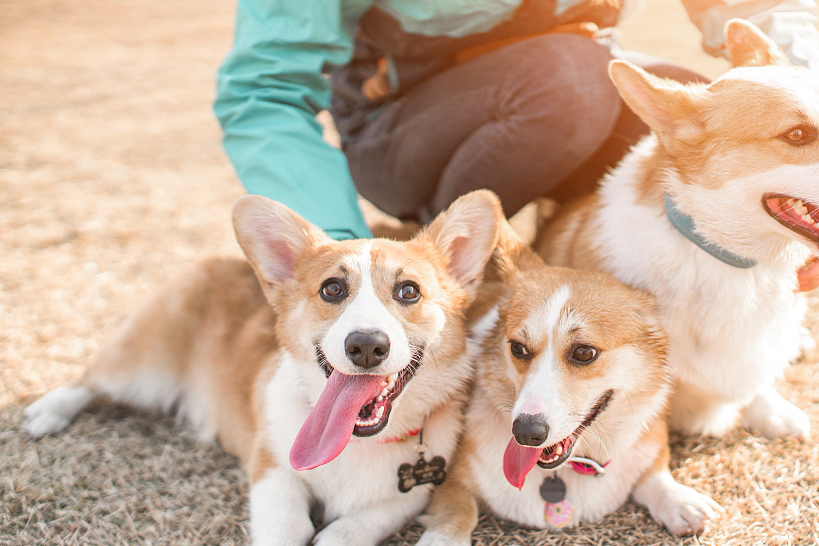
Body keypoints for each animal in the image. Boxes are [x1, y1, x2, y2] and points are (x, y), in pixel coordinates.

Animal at [22, 190, 502, 544]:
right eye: (332, 289)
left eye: (409, 291)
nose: (366, 346)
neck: (353, 446)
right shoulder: (271, 470)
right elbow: (288, 526)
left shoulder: (406, 497)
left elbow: (345, 531)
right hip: (144, 370)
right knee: (92, 378)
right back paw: (47, 412)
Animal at [416, 223, 716, 540]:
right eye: (517, 348)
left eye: (584, 352)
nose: (525, 433)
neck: (560, 473)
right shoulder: (451, 482)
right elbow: (458, 513)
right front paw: (441, 539)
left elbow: (654, 472)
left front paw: (679, 501)